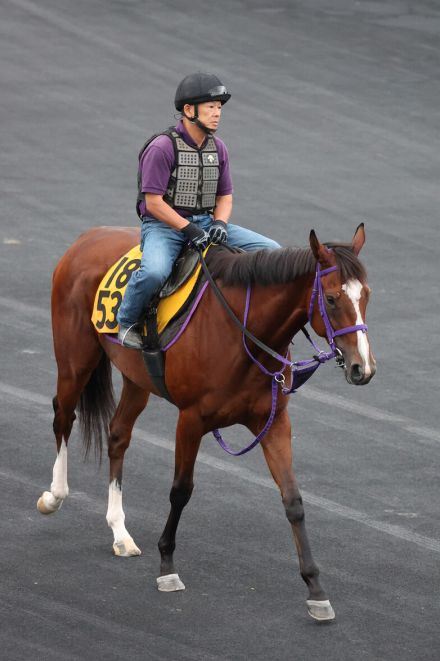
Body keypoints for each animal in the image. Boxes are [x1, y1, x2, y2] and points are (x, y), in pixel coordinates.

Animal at [37, 224, 374, 620]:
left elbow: (293, 500)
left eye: (366, 295)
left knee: (118, 434)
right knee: (63, 416)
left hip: (137, 379)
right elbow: (181, 491)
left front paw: (316, 590)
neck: (244, 335)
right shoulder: (191, 419)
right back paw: (54, 496)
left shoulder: (275, 422)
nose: (362, 368)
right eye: (333, 299)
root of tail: (87, 238)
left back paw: (120, 532)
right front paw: (167, 567)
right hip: (75, 358)